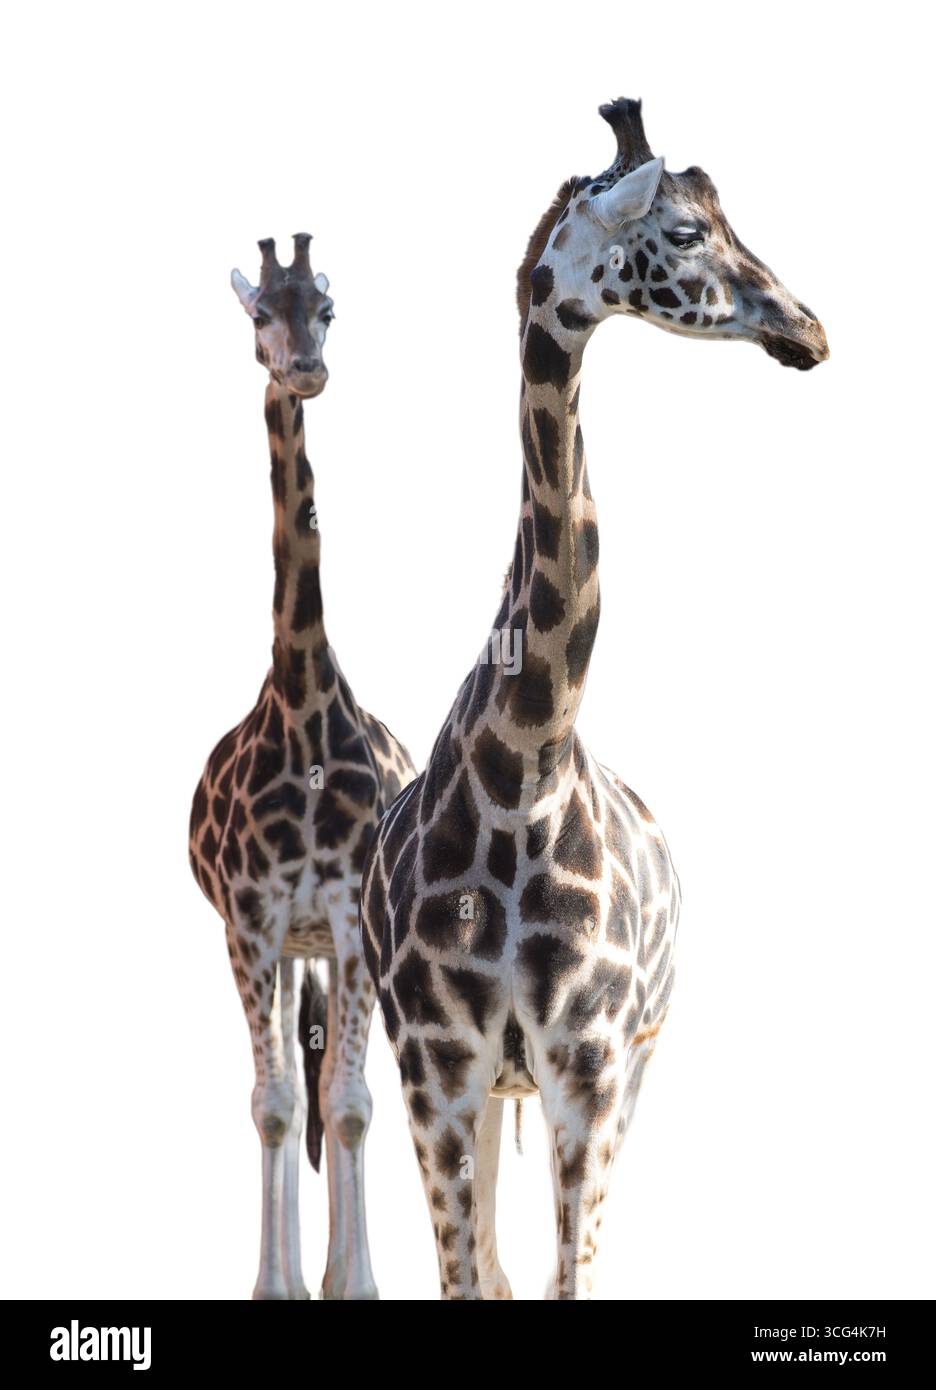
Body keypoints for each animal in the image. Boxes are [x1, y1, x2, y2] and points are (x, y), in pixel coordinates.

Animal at [360, 99, 828, 1300]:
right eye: (691, 232)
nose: (811, 329)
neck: (528, 754)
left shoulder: (593, 1065)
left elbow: (566, 1282)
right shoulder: (438, 1068)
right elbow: (474, 1280)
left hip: (633, 1072)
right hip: (484, 1090)